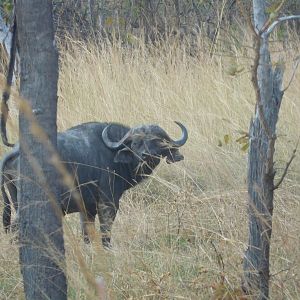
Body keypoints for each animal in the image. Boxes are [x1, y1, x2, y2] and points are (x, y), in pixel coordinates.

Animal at [1, 120, 188, 247]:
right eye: (135, 142)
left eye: (157, 141)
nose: (145, 155)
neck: (112, 154)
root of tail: (15, 150)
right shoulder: (108, 202)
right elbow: (105, 230)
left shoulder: (87, 208)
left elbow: (86, 233)